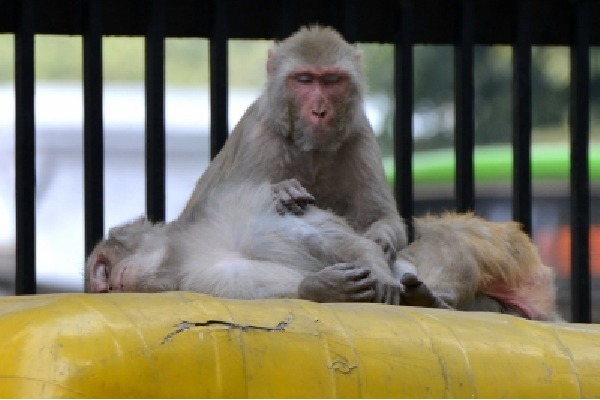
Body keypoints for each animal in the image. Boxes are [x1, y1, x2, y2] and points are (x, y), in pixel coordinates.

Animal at [86, 180, 560, 320]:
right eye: (99, 282)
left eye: (101, 269)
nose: (103, 286)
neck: (185, 248)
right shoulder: (194, 276)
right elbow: (255, 286)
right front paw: (323, 288)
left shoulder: (234, 202)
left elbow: (317, 233)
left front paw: (379, 274)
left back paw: (429, 296)